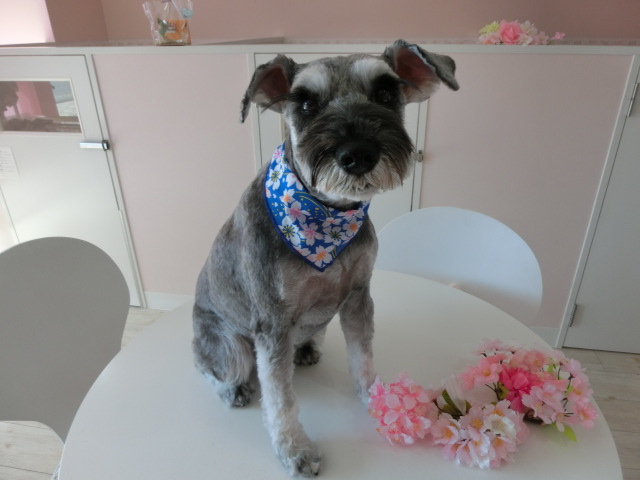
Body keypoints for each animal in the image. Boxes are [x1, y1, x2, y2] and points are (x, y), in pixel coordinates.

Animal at [193, 39, 458, 477]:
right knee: (215, 369)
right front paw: (295, 451)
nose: (358, 154)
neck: (326, 214)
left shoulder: (357, 296)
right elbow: (279, 399)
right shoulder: (272, 323)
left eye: (386, 92)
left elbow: (363, 358)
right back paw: (234, 388)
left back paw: (307, 350)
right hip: (228, 346)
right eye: (304, 103)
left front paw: (378, 401)